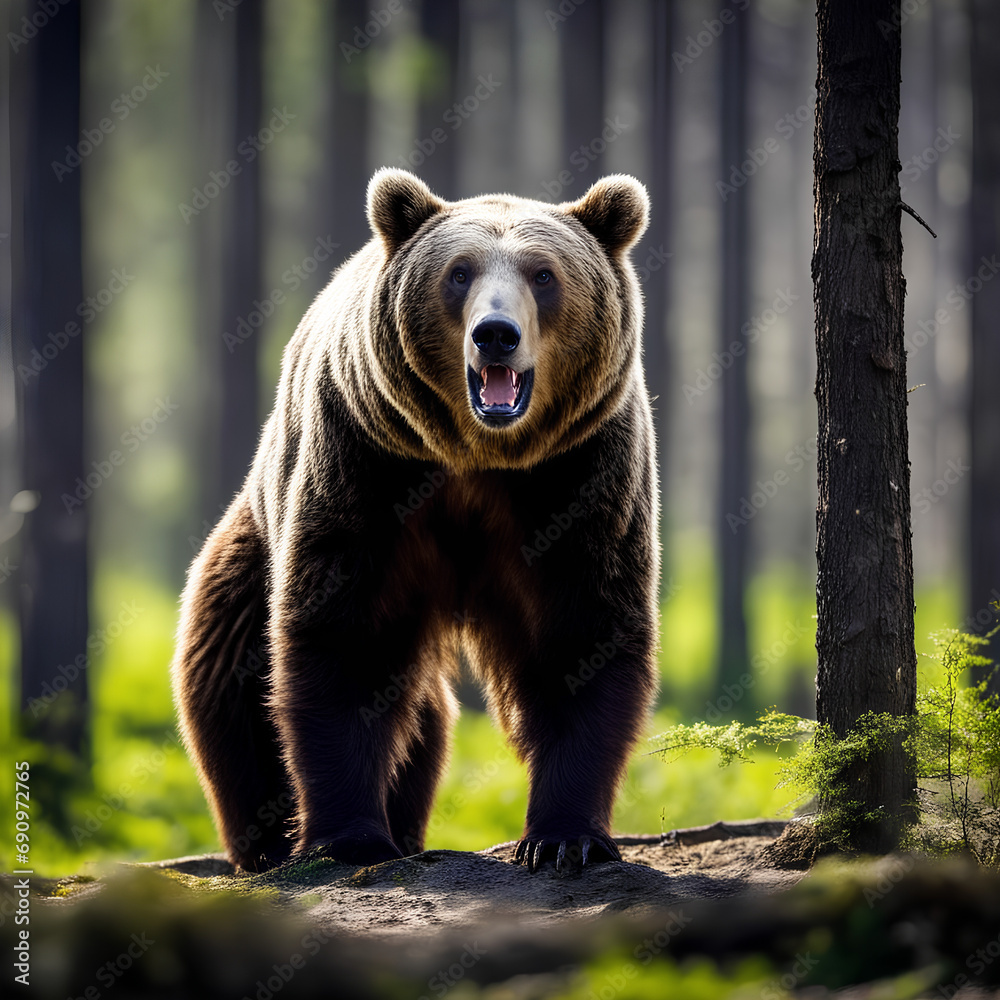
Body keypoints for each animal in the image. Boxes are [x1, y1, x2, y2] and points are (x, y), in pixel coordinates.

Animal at [171, 168, 660, 873]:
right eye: (459, 272)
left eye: (543, 274)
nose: (495, 332)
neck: (475, 454)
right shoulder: (367, 462)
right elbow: (345, 637)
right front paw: (349, 838)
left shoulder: (578, 476)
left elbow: (582, 632)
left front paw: (565, 837)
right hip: (256, 535)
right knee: (231, 671)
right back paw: (268, 842)